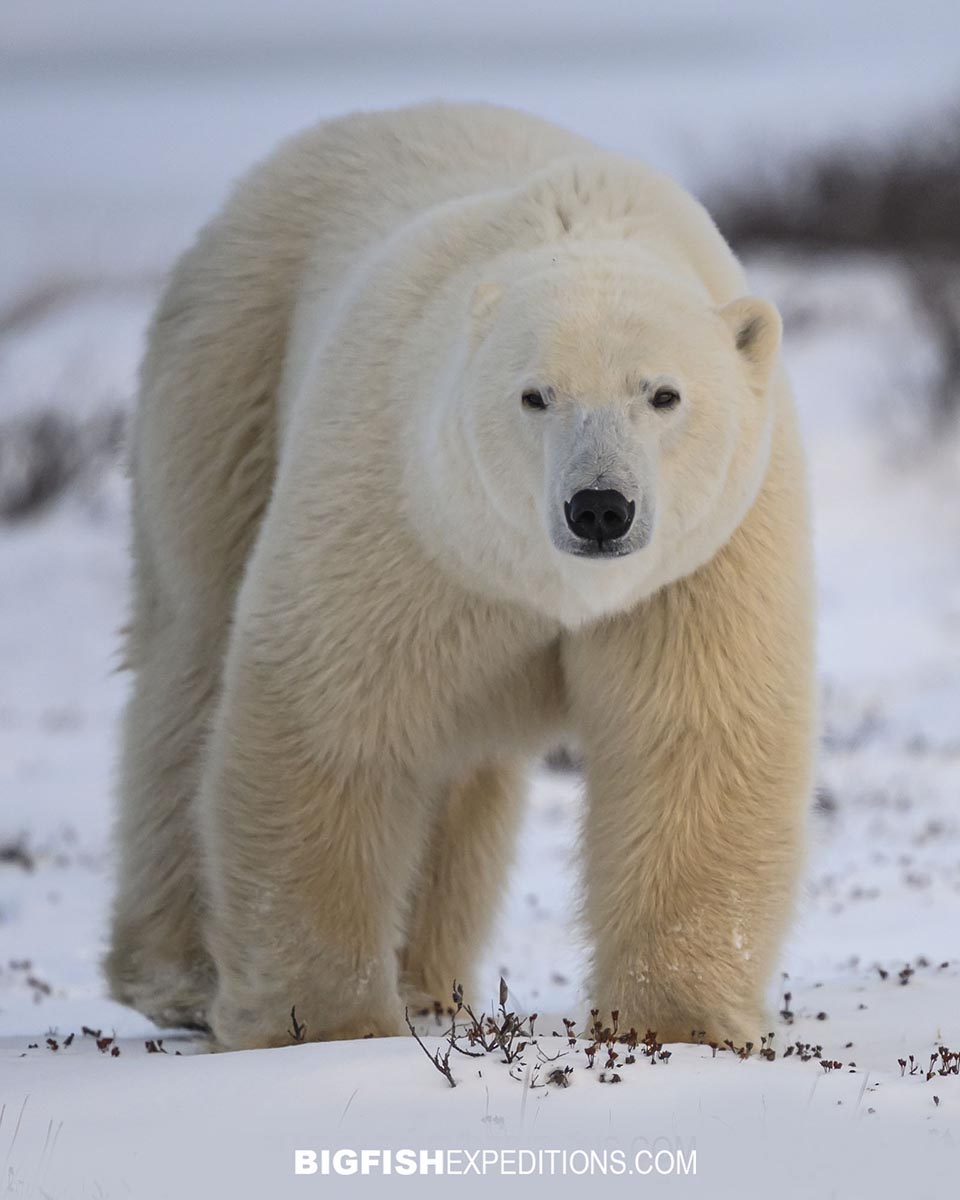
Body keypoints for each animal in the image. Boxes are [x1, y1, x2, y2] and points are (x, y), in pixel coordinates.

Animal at [105, 102, 816, 1051]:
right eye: (535, 394)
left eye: (663, 395)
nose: (599, 507)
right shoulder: (406, 511)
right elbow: (331, 719)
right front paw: (322, 1024)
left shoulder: (702, 564)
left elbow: (691, 737)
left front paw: (677, 1024)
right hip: (231, 372)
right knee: (190, 655)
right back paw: (177, 978)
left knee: (463, 768)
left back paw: (427, 984)